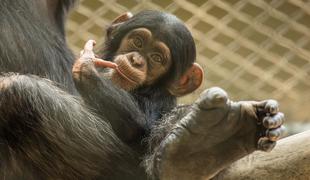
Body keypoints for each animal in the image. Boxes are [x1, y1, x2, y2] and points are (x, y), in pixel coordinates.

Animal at [0, 0, 284, 179]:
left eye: (157, 58)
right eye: (137, 41)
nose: (137, 60)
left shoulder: (159, 97)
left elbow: (140, 124)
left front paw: (87, 66)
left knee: (18, 93)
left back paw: (202, 145)